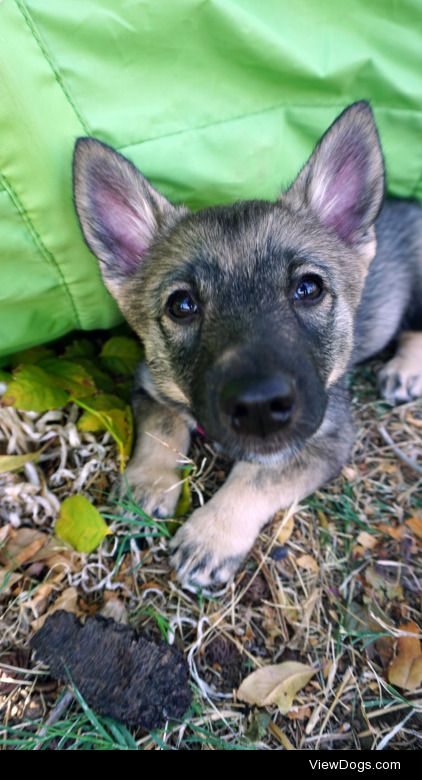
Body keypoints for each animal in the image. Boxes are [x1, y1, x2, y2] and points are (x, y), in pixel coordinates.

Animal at [73, 105, 422, 592]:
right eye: (182, 305)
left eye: (309, 288)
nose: (259, 406)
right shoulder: (149, 386)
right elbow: (162, 429)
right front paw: (148, 485)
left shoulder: (325, 438)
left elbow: (255, 479)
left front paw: (211, 536)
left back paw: (406, 370)